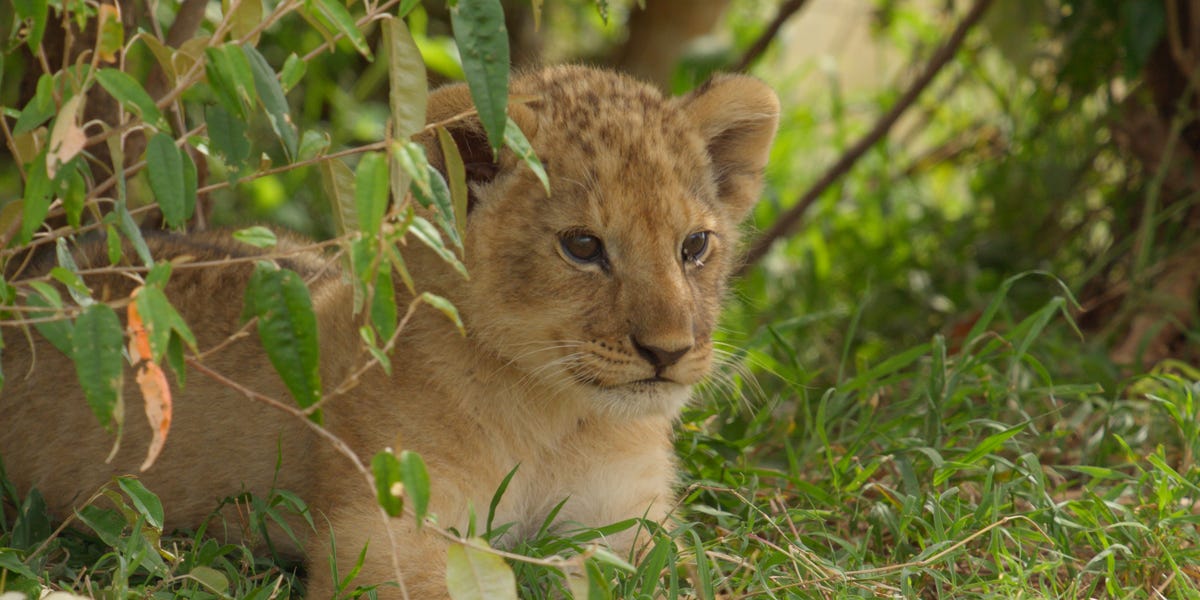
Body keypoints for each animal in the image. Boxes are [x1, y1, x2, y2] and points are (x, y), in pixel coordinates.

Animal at [0, 65, 779, 597]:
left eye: (694, 246)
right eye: (583, 247)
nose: (668, 352)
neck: (558, 416)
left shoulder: (640, 521)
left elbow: (683, 574)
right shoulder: (377, 536)